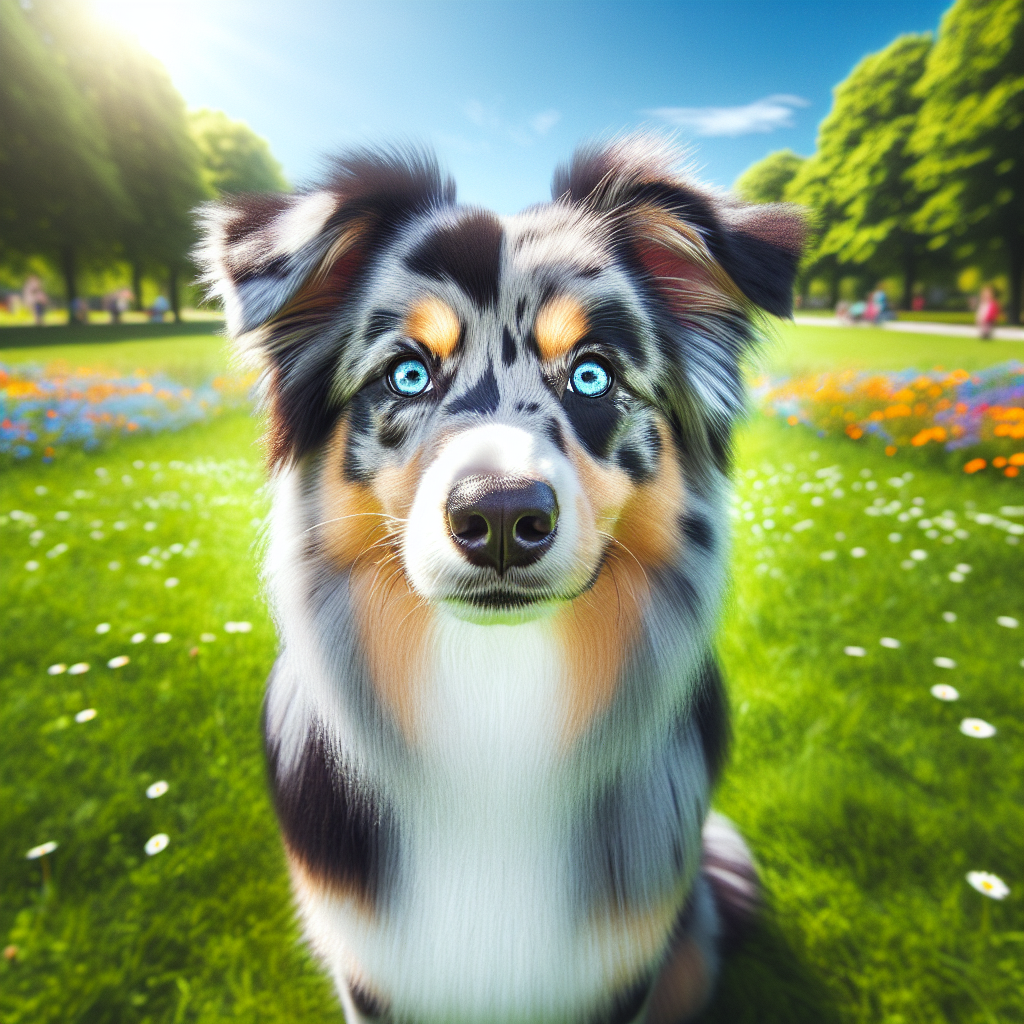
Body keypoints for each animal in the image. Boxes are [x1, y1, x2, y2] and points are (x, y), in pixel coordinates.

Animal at [195, 138, 802, 1024]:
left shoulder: (618, 973)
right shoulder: (373, 972)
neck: (494, 688)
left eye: (592, 376)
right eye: (408, 374)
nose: (504, 514)